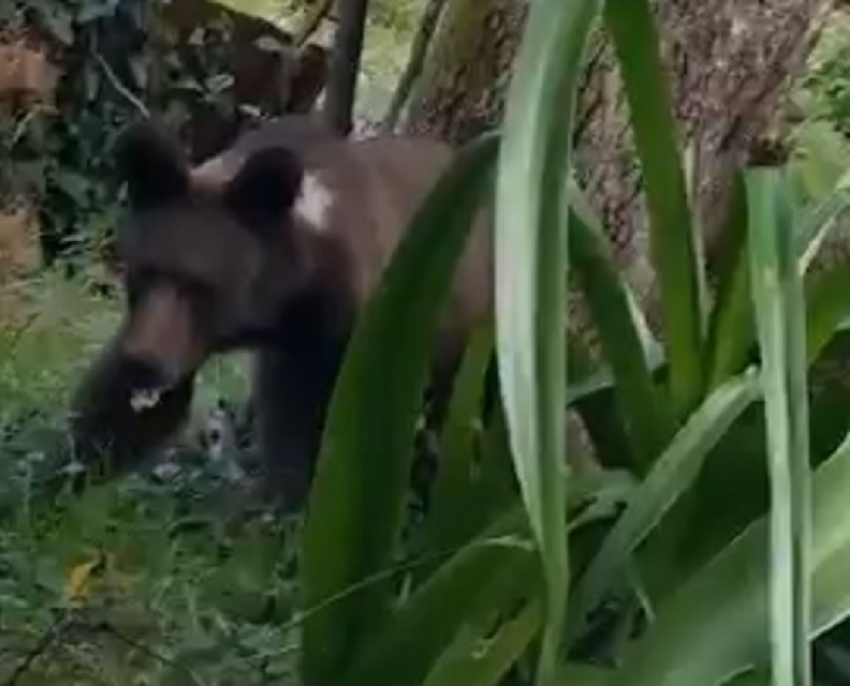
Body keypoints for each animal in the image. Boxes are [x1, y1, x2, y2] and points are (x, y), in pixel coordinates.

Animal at [64, 117, 490, 510]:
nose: (143, 362)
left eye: (203, 286)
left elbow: (320, 430)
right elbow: (120, 408)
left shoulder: (348, 332)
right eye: (146, 271)